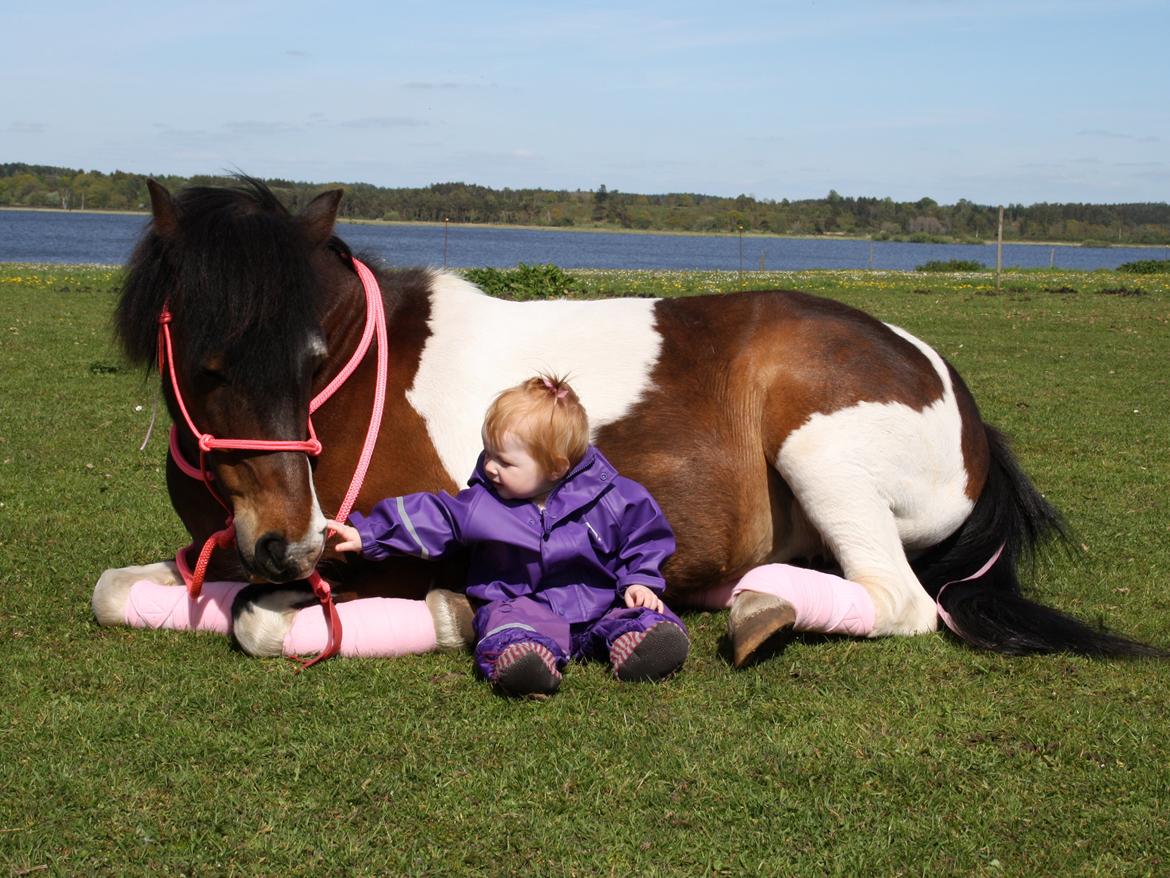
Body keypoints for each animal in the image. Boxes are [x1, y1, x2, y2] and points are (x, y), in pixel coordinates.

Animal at [93, 176, 1160, 660]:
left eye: (314, 358)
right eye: (206, 363)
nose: (291, 541)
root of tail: (961, 402)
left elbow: (262, 624)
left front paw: (441, 613)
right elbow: (121, 590)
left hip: (822, 452)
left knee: (898, 602)